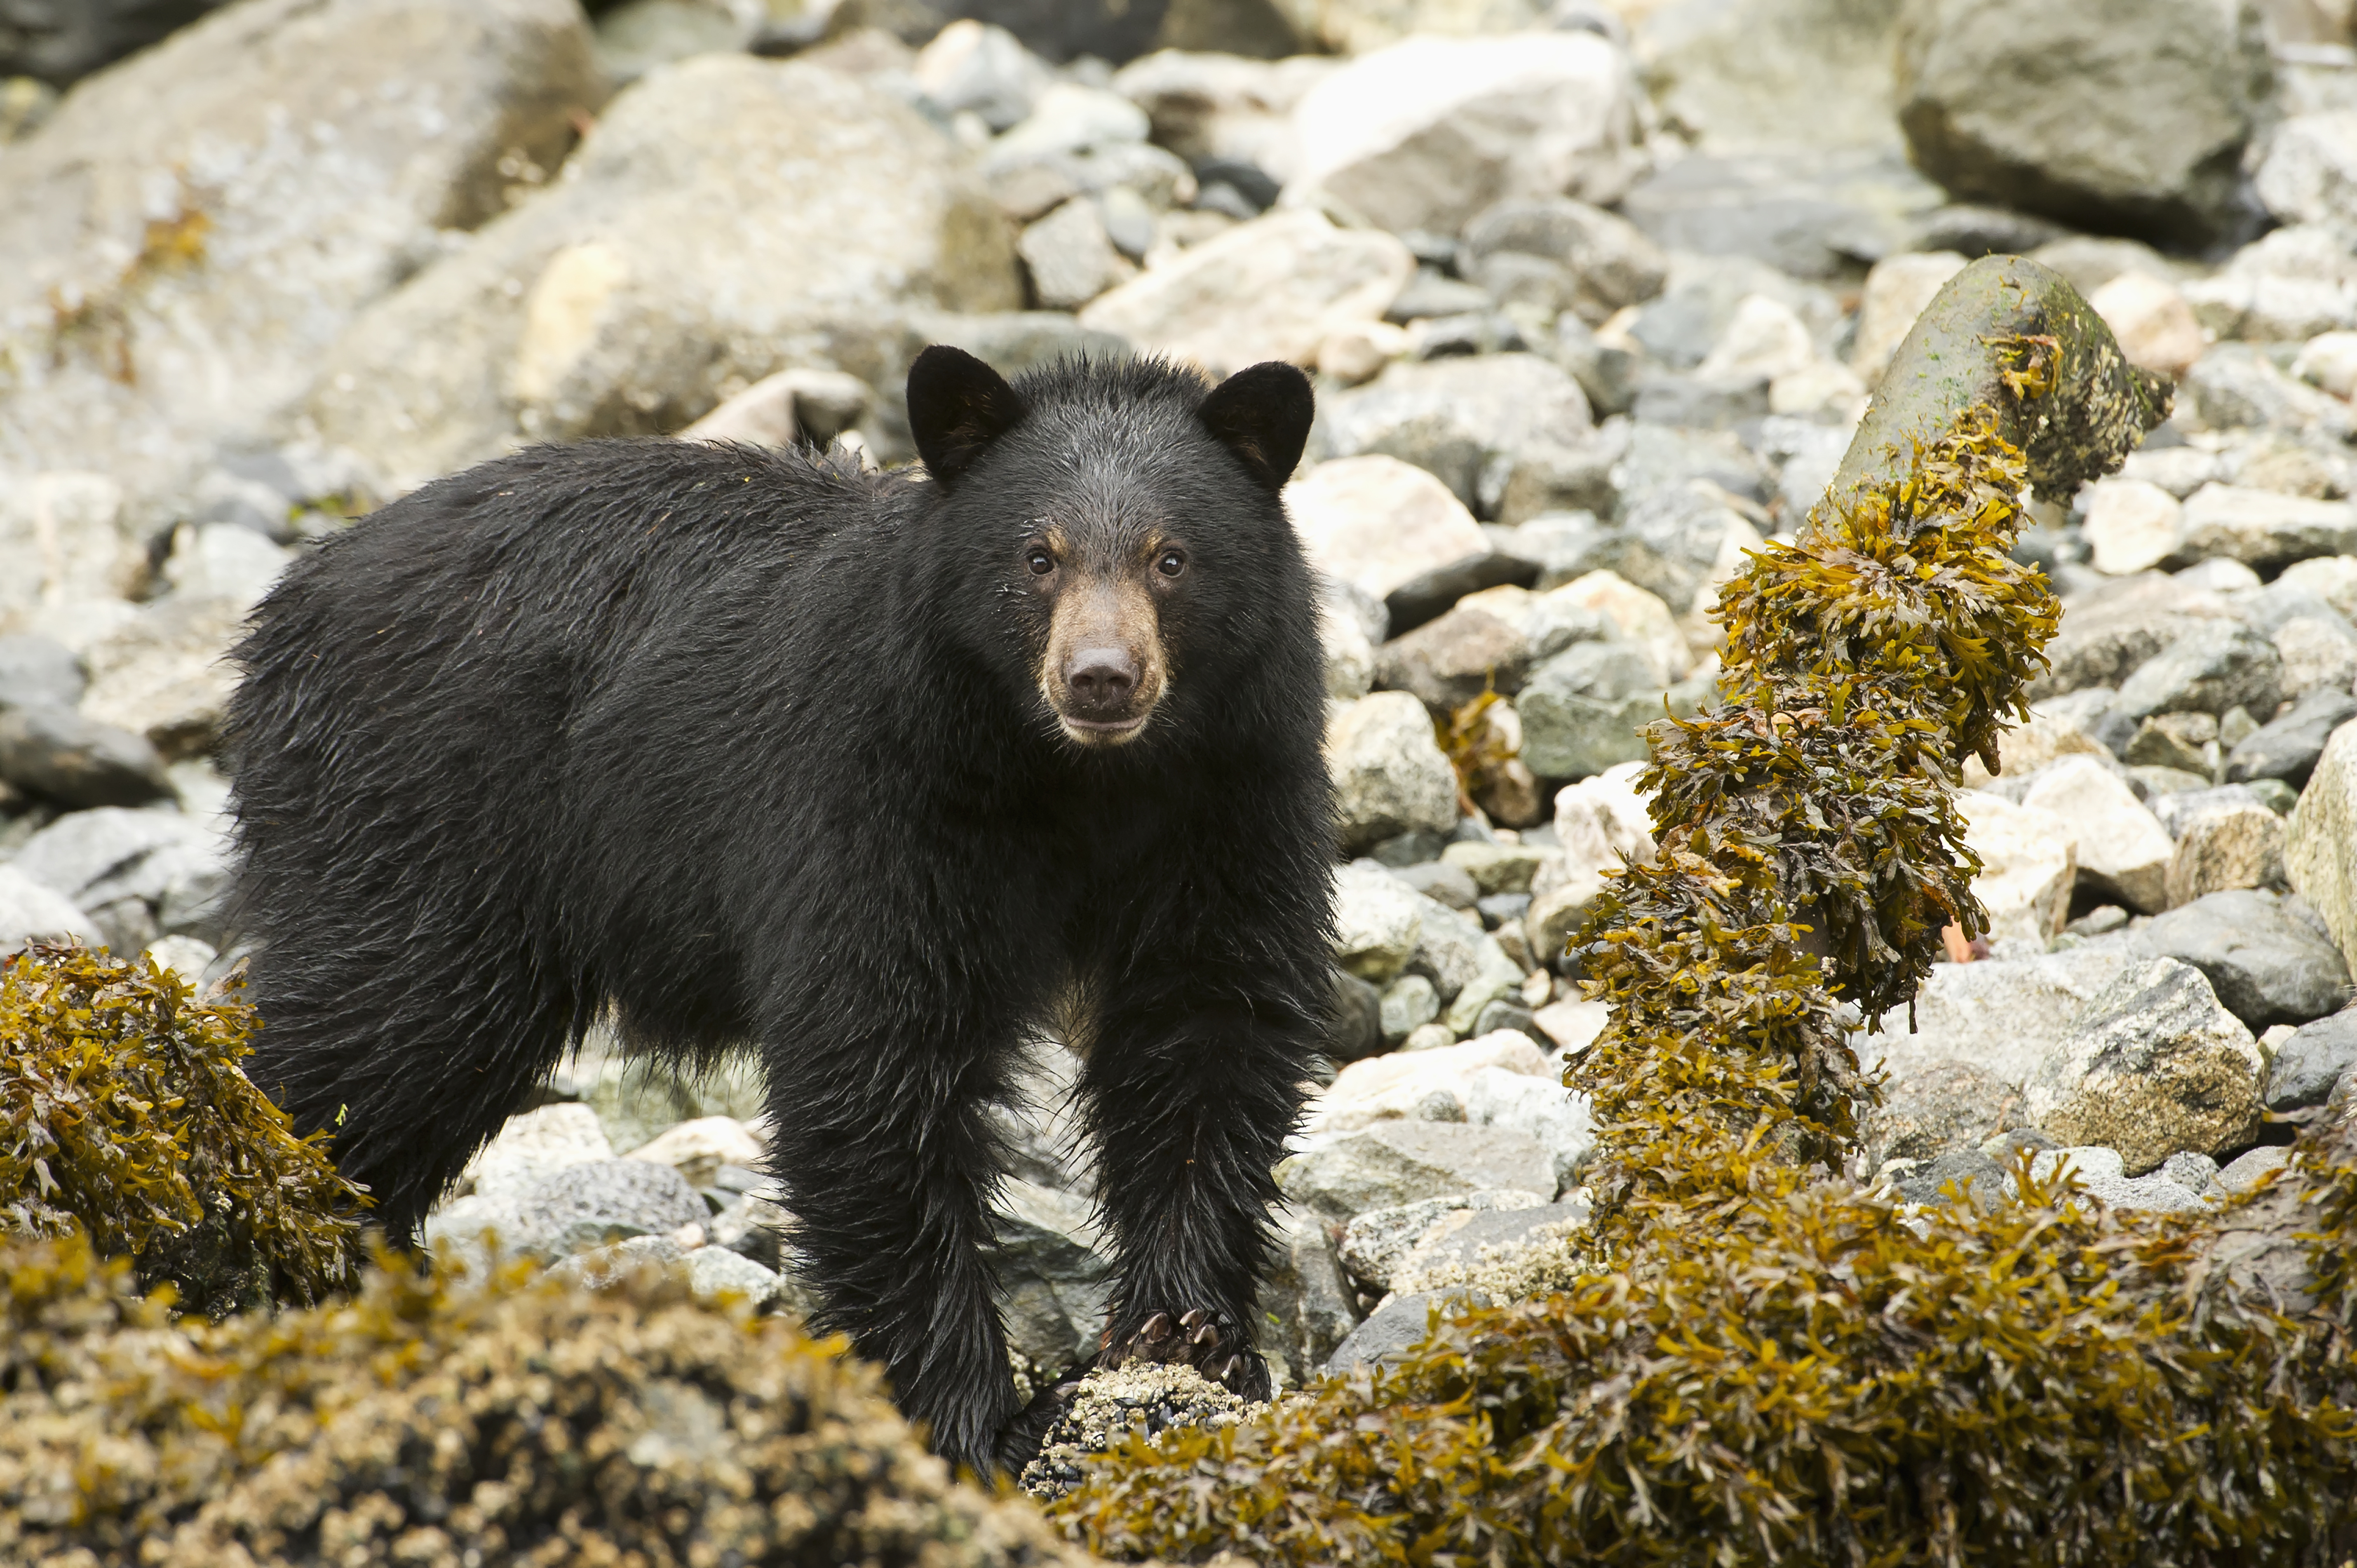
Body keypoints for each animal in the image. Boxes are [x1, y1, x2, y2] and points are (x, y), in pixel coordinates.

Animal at [223, 347, 1337, 1477]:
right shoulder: (878, 792)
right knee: (373, 1032)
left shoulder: (1228, 799)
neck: (1077, 786)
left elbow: (1207, 1025)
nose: (1100, 679)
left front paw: (1184, 1336)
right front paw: (978, 1423)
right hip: (423, 825)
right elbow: (874, 1061)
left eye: (1171, 558)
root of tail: (288, 604)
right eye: (1037, 556)